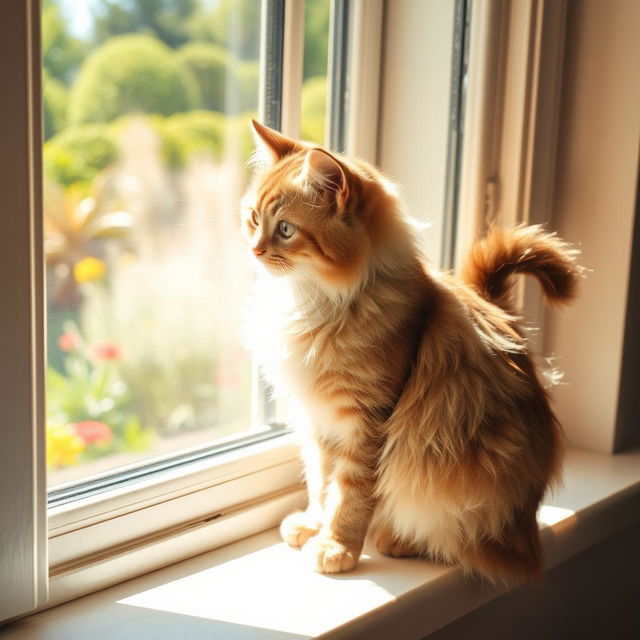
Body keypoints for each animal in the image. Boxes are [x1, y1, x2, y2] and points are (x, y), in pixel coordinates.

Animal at [240, 119, 580, 580]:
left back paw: (399, 540)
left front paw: (336, 546)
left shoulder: (368, 421)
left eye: (286, 230)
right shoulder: (321, 420)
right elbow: (321, 481)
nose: (255, 249)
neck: (317, 303)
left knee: (459, 538)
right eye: (253, 219)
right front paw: (314, 524)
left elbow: (350, 494)